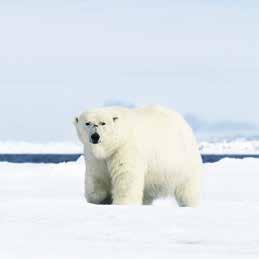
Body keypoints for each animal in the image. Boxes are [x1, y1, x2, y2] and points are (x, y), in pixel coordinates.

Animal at [74, 105, 204, 207]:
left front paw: (122, 203)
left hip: (183, 161)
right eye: (87, 123)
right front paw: (98, 199)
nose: (95, 136)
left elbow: (126, 176)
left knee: (188, 189)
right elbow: (97, 176)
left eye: (103, 123)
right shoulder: (94, 156)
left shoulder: (125, 149)